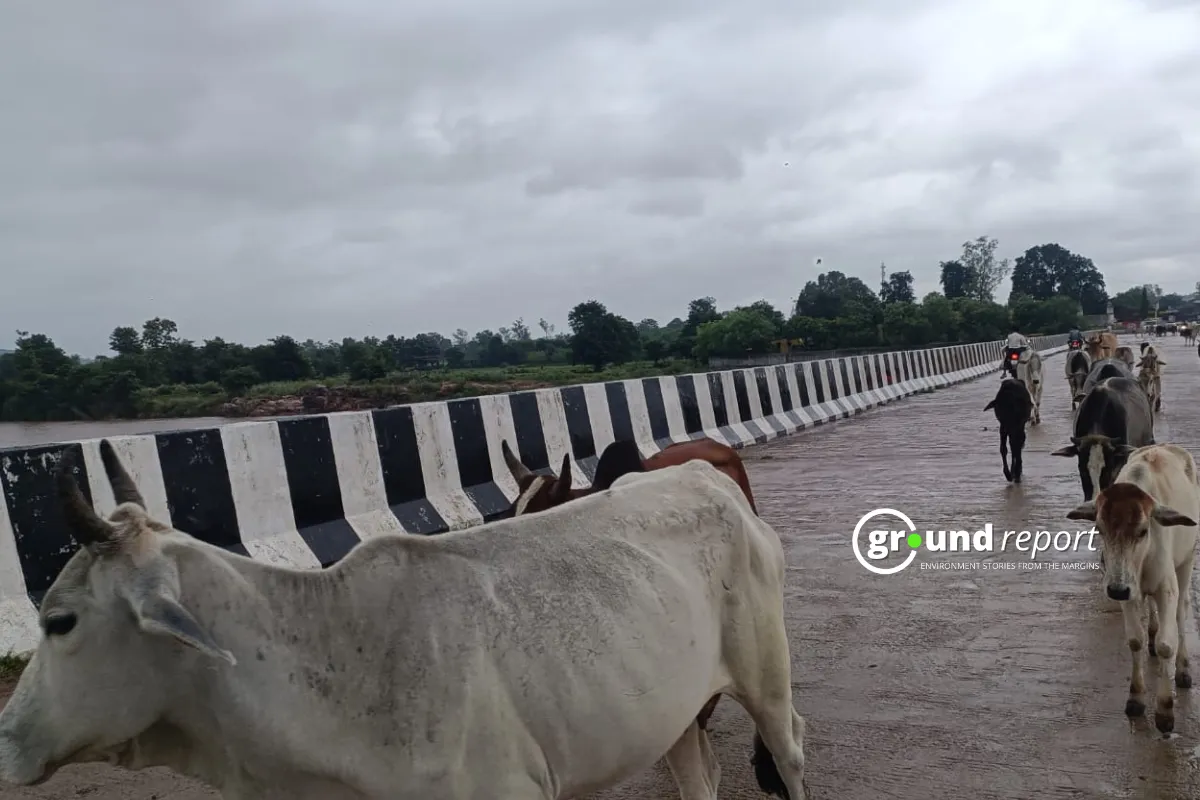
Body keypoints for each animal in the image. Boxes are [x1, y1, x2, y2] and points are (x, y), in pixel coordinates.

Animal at [0, 441, 811, 796]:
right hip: (673, 712)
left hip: (766, 678)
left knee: (790, 750)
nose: (6, 738)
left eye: (60, 621)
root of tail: (705, 475)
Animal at [1065, 441, 1195, 734]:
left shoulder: (1166, 588)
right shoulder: (1126, 590)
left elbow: (1167, 645)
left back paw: (1183, 669)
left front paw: (1165, 709)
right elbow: (1135, 640)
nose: (1117, 590)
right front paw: (1136, 699)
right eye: (1100, 529)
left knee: (1182, 614)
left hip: (1188, 561)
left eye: (1143, 530)